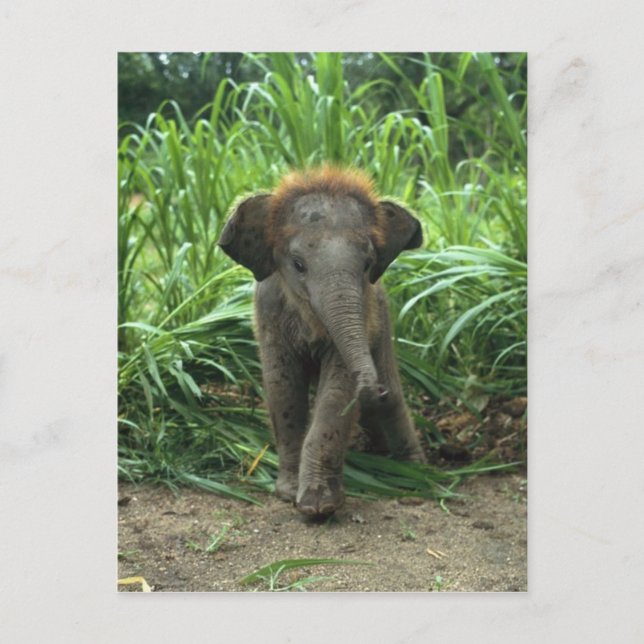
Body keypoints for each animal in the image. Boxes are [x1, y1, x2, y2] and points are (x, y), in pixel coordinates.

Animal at [218, 166, 425, 517]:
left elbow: (337, 393)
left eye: (367, 264)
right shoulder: (268, 312)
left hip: (383, 321)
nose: (373, 389)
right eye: (298, 265)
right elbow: (282, 387)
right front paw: (289, 494)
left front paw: (318, 507)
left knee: (392, 402)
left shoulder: (365, 314)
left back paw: (414, 475)